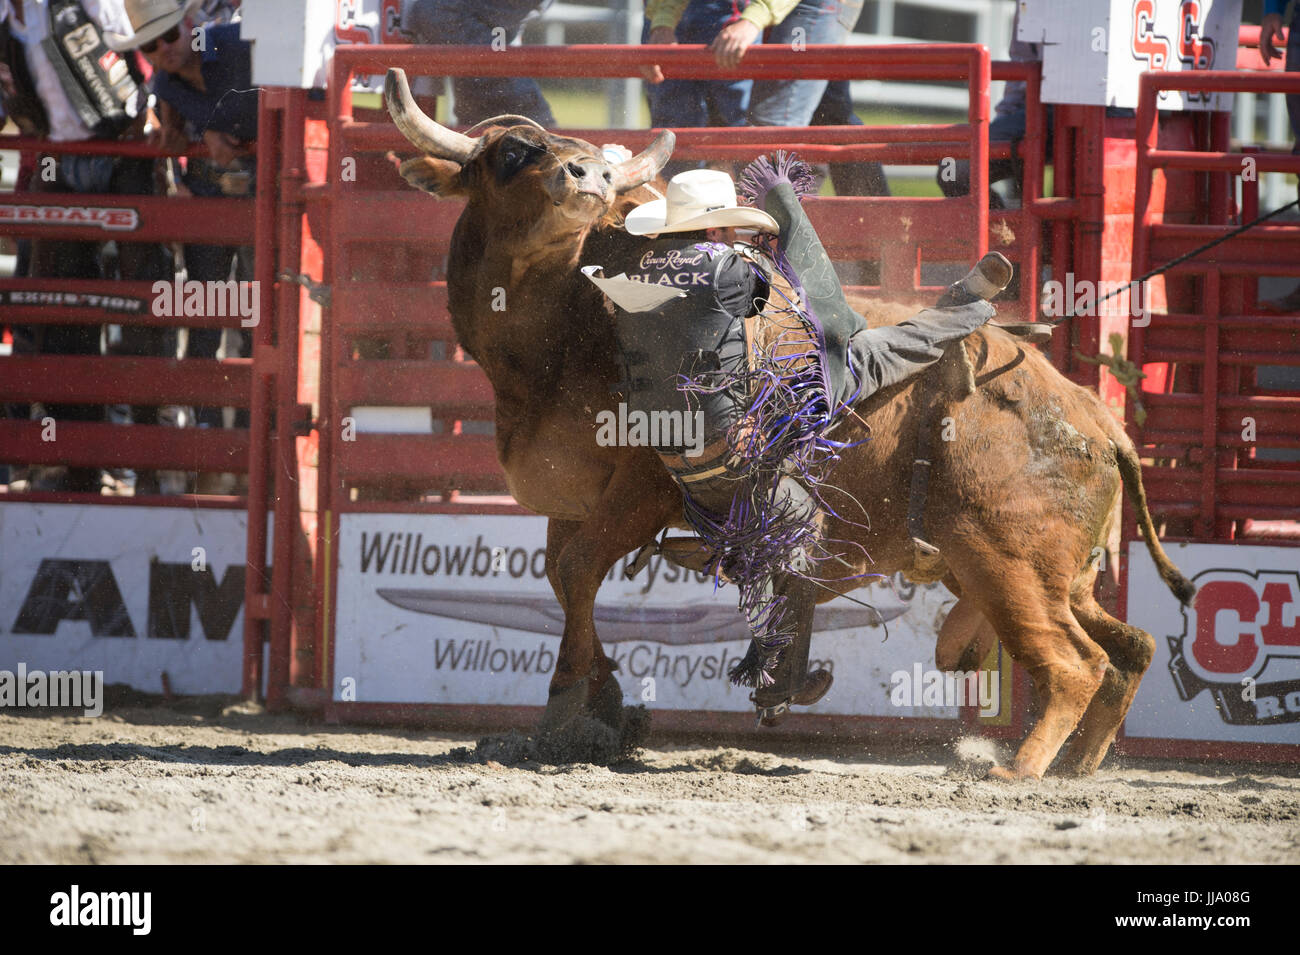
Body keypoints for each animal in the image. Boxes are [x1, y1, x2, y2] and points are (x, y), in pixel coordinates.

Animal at [384, 68, 1194, 779]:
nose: (589, 177)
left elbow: (580, 569)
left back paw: (1019, 770)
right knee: (1130, 648)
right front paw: (605, 702)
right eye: (512, 152)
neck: (563, 333)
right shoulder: (571, 500)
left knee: (1075, 664)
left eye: (588, 158)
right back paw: (1077, 766)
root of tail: (1095, 417)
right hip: (1058, 576)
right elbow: (562, 577)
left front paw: (567, 713)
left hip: (1007, 566)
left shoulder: (644, 488)